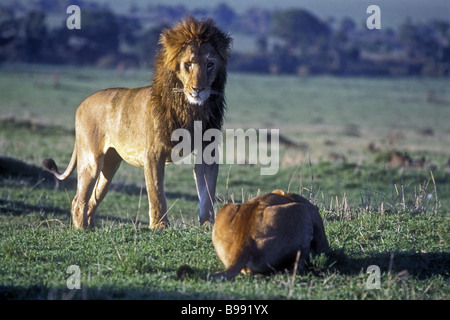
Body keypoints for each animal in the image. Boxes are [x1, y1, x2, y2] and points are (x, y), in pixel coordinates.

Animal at [42, 16, 232, 228]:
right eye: (188, 64)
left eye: (210, 64)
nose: (198, 89)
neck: (190, 109)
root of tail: (82, 103)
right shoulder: (153, 154)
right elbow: (157, 193)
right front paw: (160, 226)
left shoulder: (208, 152)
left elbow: (207, 192)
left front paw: (208, 224)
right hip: (91, 160)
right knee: (78, 200)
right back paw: (81, 230)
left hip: (110, 166)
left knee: (92, 199)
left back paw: (91, 228)